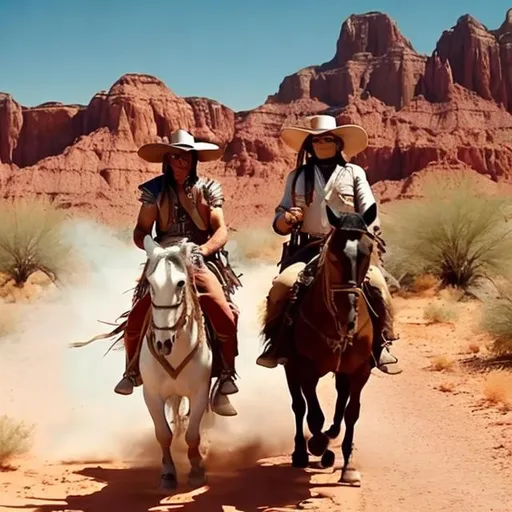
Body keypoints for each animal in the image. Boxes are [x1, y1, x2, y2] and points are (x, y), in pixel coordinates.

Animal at [139, 235, 225, 488]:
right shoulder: (151, 394)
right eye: (151, 283)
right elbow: (163, 434)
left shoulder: (199, 392)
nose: (162, 343)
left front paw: (196, 469)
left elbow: (193, 433)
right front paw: (168, 472)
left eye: (180, 283)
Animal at [264, 202, 380, 486]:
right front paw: (318, 446)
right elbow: (313, 413)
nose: (348, 316)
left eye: (367, 251)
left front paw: (348, 466)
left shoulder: (359, 371)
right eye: (335, 254)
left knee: (339, 400)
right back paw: (301, 452)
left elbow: (351, 412)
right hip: (290, 367)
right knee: (298, 406)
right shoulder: (305, 368)